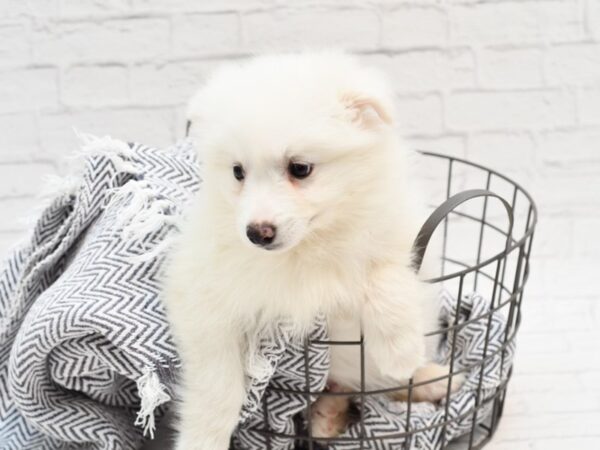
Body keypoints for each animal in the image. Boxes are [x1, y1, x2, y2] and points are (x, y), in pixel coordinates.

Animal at [163, 51, 460, 446]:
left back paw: (432, 379)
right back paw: (328, 414)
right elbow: (218, 386)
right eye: (238, 172)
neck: (309, 245)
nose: (257, 233)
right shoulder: (202, 298)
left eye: (300, 168)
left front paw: (400, 350)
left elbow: (385, 273)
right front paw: (202, 440)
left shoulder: (398, 237)